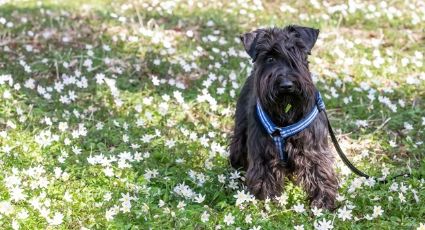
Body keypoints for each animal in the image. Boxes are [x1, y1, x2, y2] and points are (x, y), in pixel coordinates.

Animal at [229, 25, 338, 210]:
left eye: (299, 54)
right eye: (270, 58)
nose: (287, 85)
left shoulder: (313, 149)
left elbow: (320, 171)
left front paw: (323, 201)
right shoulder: (264, 153)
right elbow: (265, 177)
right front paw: (267, 201)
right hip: (239, 137)